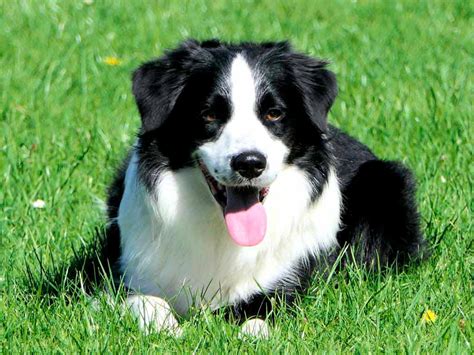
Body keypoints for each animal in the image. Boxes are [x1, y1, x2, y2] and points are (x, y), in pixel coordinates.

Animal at [106, 39, 426, 336]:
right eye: (209, 114)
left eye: (274, 114)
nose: (249, 163)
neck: (220, 233)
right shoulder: (123, 273)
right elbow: (144, 301)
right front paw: (167, 327)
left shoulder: (285, 280)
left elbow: (258, 312)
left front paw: (251, 333)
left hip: (385, 181)